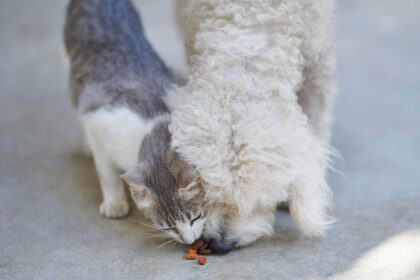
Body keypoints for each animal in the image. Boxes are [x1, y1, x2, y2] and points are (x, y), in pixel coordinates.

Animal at [63, 0, 206, 245]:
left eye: (196, 217)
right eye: (169, 228)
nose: (190, 241)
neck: (153, 125)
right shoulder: (99, 121)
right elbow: (107, 173)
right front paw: (114, 203)